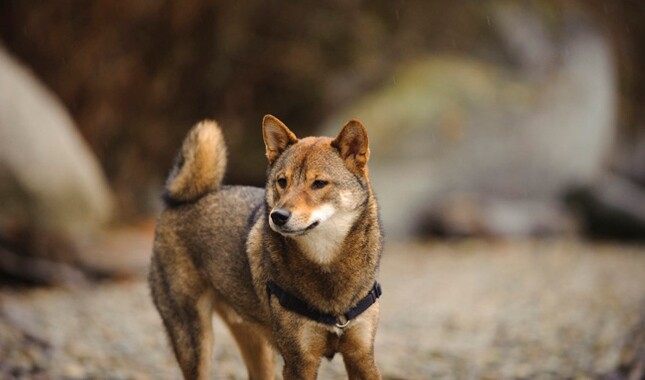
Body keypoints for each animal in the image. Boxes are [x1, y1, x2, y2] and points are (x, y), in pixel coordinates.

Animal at [147, 114, 382, 378]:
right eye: (282, 182)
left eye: (319, 183)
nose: (278, 216)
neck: (327, 266)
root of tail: (181, 201)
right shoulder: (299, 362)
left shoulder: (361, 356)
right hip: (195, 343)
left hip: (256, 347)